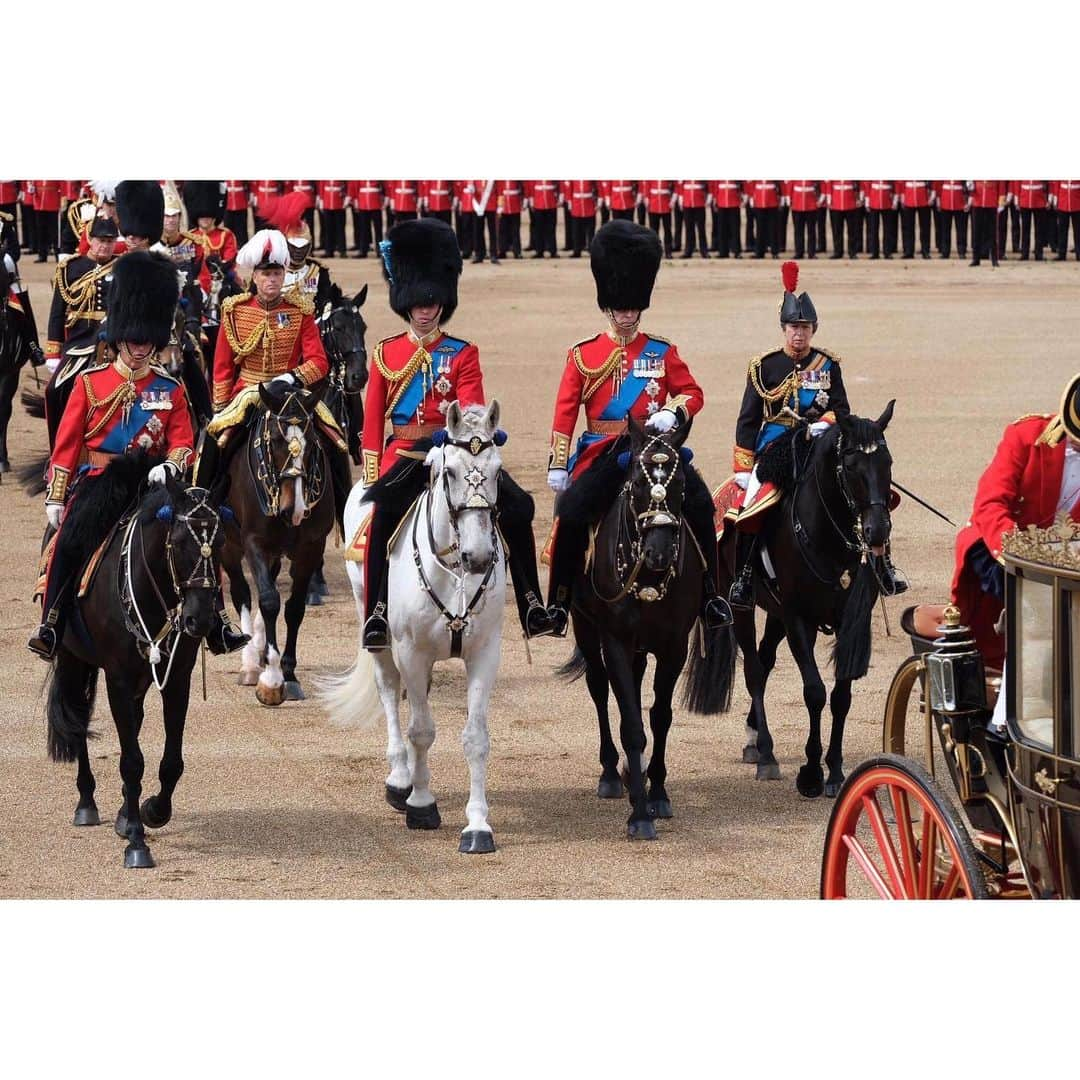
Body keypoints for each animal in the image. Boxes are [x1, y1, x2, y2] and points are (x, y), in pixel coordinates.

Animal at [43, 464, 227, 868]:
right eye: (179, 541)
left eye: (220, 543)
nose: (200, 620)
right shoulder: (118, 678)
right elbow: (131, 761)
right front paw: (137, 844)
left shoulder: (177, 677)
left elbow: (170, 761)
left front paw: (151, 811)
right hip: (72, 656)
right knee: (78, 719)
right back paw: (87, 802)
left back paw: (125, 813)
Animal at [317, 401, 507, 855]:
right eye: (449, 471)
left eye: (496, 471)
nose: (478, 557)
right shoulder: (411, 652)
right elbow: (420, 730)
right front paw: (421, 804)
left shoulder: (484, 653)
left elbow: (476, 738)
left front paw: (478, 826)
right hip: (376, 628)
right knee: (389, 691)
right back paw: (401, 779)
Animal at [557, 416, 734, 838]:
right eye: (638, 482)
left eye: (680, 484)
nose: (658, 553)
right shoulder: (616, 641)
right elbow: (632, 725)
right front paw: (638, 814)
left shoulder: (673, 647)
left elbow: (659, 717)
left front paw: (657, 794)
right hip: (586, 627)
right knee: (599, 689)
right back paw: (610, 773)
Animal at [717, 401, 894, 799]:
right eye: (851, 465)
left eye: (887, 462)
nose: (877, 531)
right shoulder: (799, 617)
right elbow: (814, 692)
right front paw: (812, 773)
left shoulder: (846, 621)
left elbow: (841, 696)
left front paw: (836, 771)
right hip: (743, 609)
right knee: (754, 670)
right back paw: (766, 753)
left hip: (776, 614)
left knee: (765, 660)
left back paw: (754, 738)